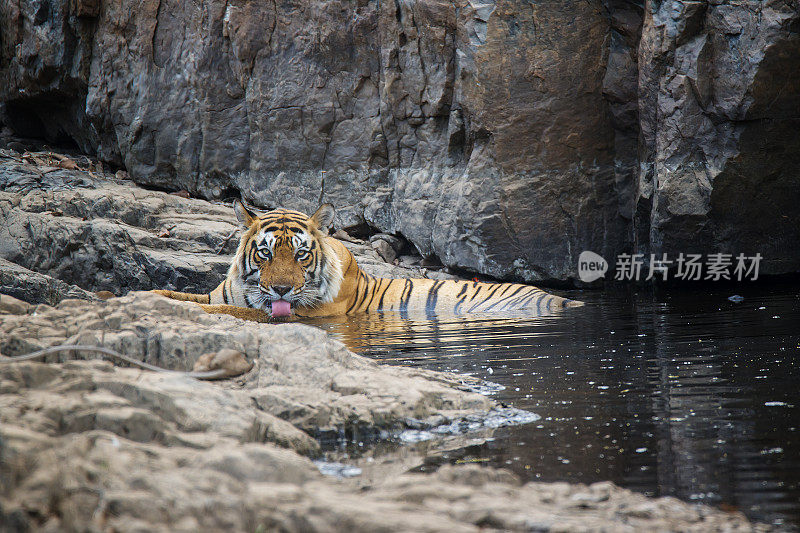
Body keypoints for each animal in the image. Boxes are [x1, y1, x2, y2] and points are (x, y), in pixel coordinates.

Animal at [155, 200, 580, 320]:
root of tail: (562, 299)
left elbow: (237, 313)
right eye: (266, 253)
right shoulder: (219, 295)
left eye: (301, 255)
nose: (282, 289)